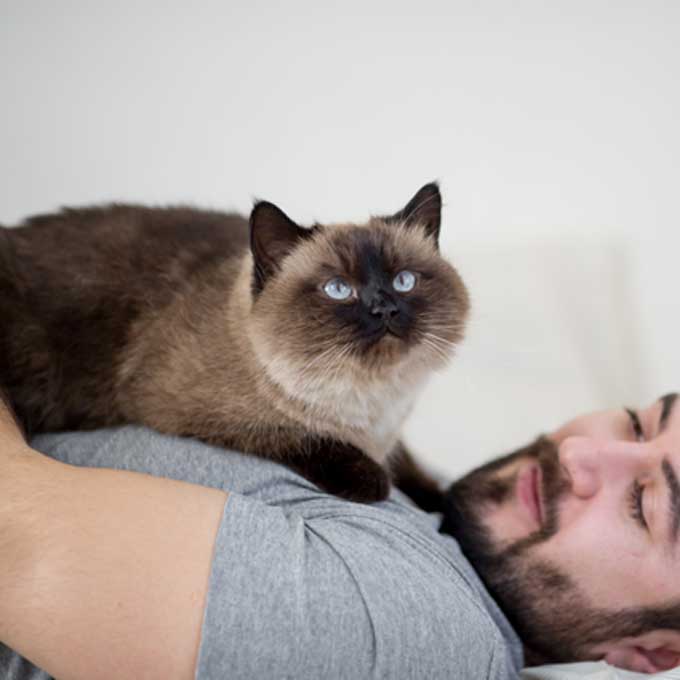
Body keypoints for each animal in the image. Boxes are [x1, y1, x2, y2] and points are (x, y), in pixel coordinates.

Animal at [0, 183, 468, 502]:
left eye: (403, 281)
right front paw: (377, 482)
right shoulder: (181, 409)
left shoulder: (394, 433)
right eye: (339, 289)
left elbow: (413, 466)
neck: (371, 406)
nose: (384, 309)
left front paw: (439, 499)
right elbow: (303, 438)